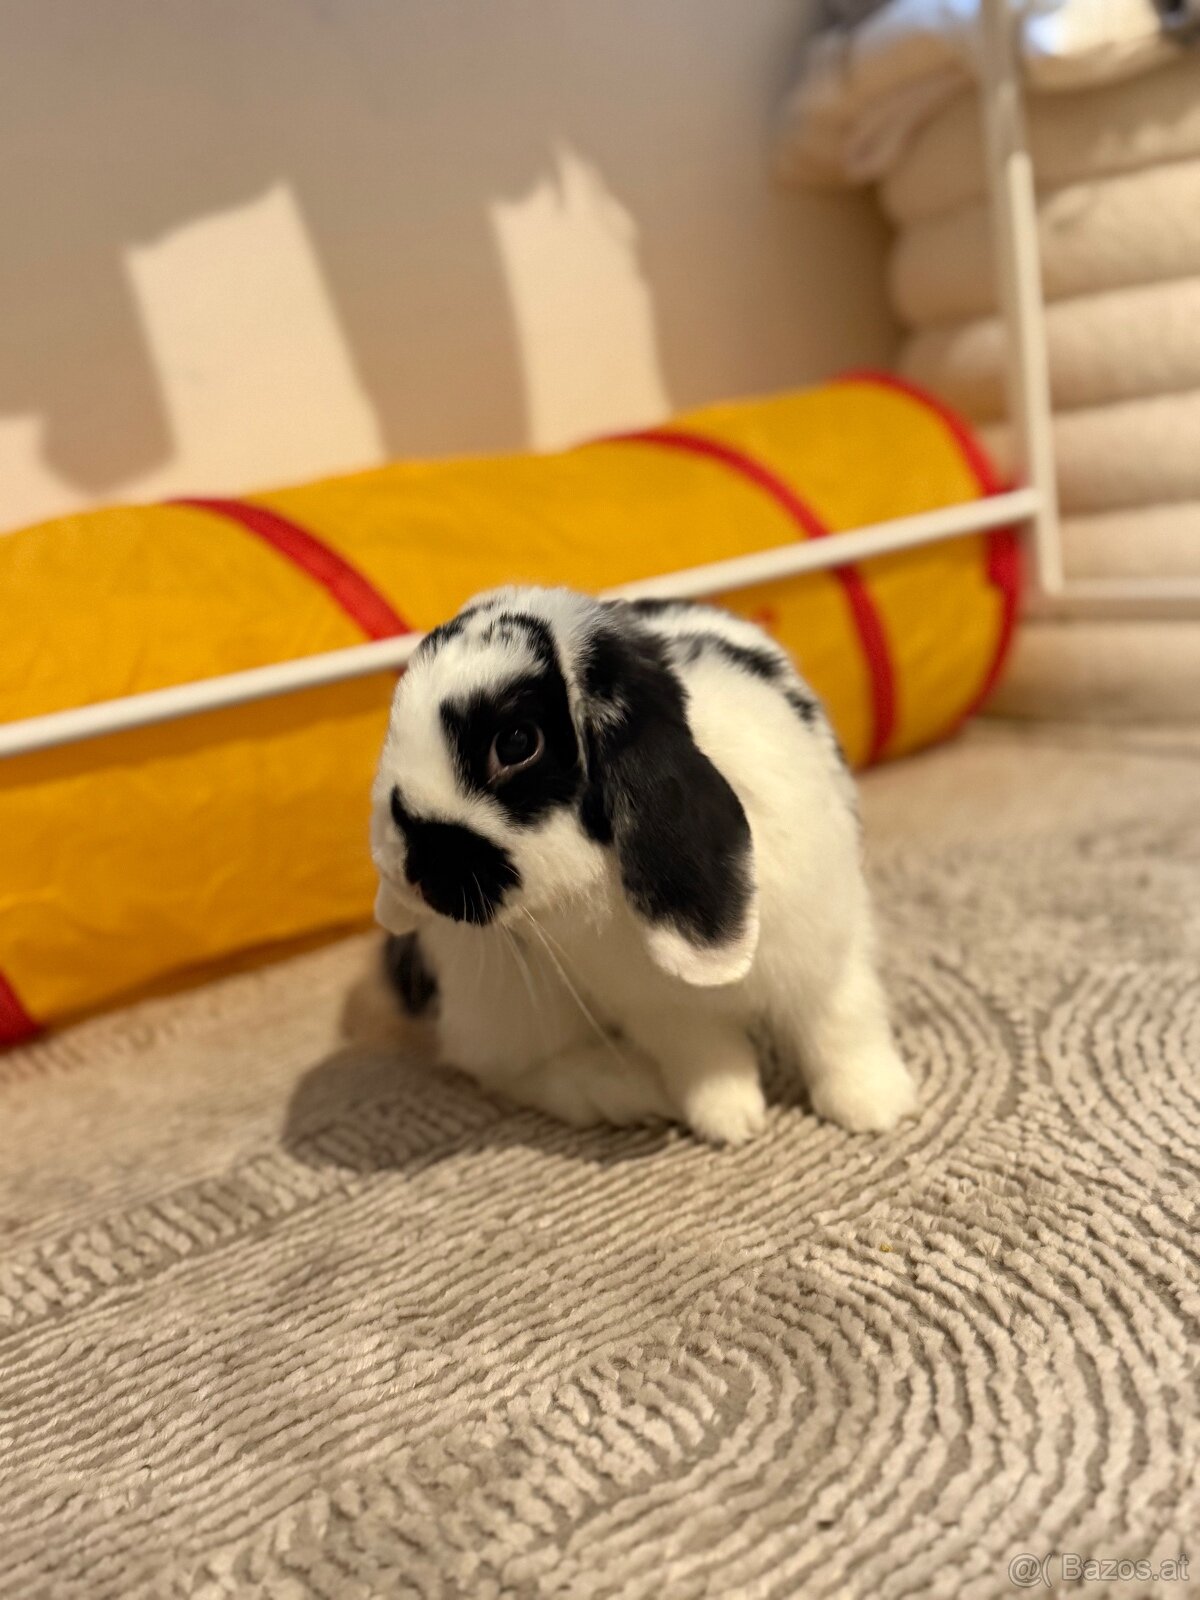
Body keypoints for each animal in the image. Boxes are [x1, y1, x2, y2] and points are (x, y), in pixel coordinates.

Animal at [370, 584, 916, 1146]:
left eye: (517, 743)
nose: (406, 871)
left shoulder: (828, 952)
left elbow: (840, 1026)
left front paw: (874, 1108)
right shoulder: (661, 1009)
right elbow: (707, 1057)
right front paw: (729, 1121)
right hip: (506, 998)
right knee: (501, 1064)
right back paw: (626, 1089)